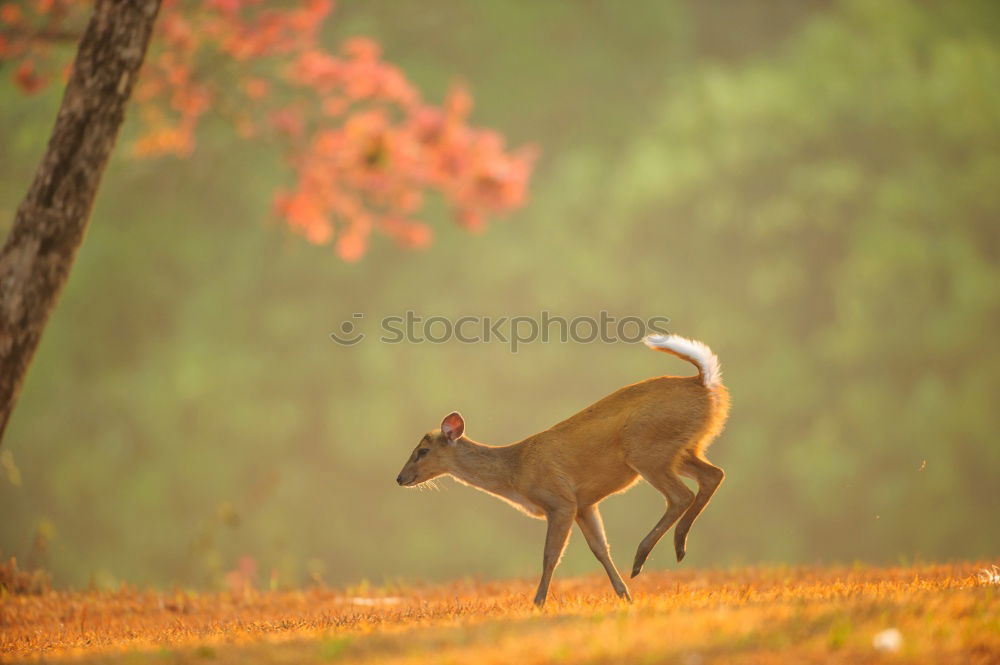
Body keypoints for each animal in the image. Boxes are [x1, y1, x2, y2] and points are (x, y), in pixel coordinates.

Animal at [394, 334, 732, 604]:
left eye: (422, 451)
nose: (400, 478)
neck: (515, 471)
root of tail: (703, 381)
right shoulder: (584, 504)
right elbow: (600, 549)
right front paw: (625, 595)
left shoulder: (560, 500)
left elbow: (550, 556)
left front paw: (538, 602)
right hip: (683, 449)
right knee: (713, 475)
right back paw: (674, 549)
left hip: (647, 450)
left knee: (681, 495)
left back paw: (643, 556)